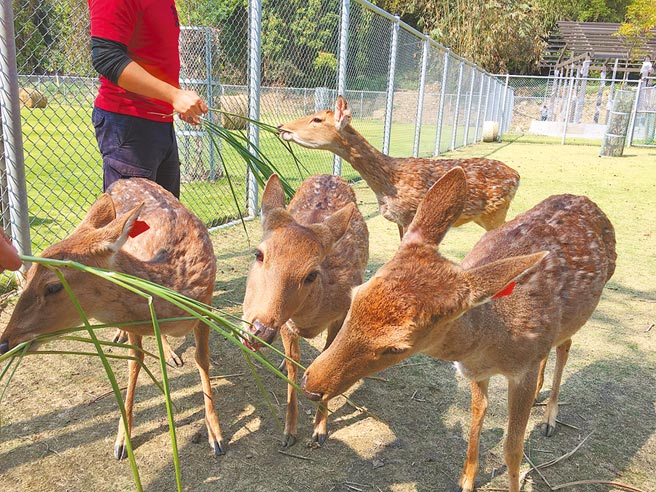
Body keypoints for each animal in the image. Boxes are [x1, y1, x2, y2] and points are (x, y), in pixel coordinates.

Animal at [0, 178, 225, 460]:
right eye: (27, 276)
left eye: (53, 286)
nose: (5, 341)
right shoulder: (134, 324)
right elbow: (135, 362)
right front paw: (122, 440)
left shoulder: (206, 303)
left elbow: (202, 359)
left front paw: (216, 434)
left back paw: (171, 354)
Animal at [241, 174, 369, 447]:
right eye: (259, 254)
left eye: (311, 274)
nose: (259, 330)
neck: (309, 320)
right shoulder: (286, 326)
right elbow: (293, 367)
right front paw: (289, 432)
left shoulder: (341, 315)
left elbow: (325, 361)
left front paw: (319, 430)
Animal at [278, 96, 520, 238]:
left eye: (317, 119)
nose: (281, 127)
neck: (389, 182)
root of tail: (517, 175)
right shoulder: (398, 220)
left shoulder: (410, 215)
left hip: (496, 212)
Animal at [301, 168, 616, 492]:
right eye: (356, 298)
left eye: (396, 347)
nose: (311, 386)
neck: (492, 342)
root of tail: (587, 200)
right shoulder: (477, 371)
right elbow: (477, 416)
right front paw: (466, 479)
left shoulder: (521, 371)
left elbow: (512, 448)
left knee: (565, 347)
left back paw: (550, 418)